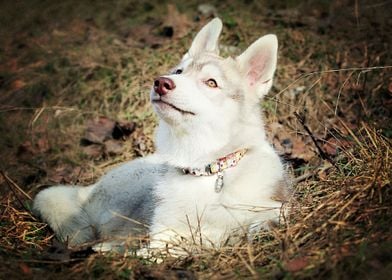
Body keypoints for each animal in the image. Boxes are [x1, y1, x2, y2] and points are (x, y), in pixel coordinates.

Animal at [33, 17, 288, 254]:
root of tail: (88, 188)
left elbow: (252, 226)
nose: (161, 83)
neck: (207, 169)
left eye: (211, 82)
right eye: (178, 72)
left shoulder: (271, 212)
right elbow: (161, 249)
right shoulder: (163, 233)